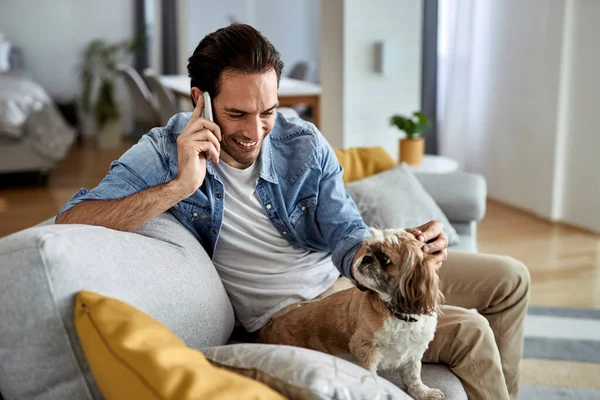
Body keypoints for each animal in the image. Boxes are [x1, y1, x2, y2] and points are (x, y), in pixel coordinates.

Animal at [258, 228, 446, 400]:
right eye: (367, 250)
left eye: (385, 258)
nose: (366, 258)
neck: (395, 313)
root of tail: (272, 324)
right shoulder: (364, 348)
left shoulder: (414, 351)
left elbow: (413, 376)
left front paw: (423, 392)